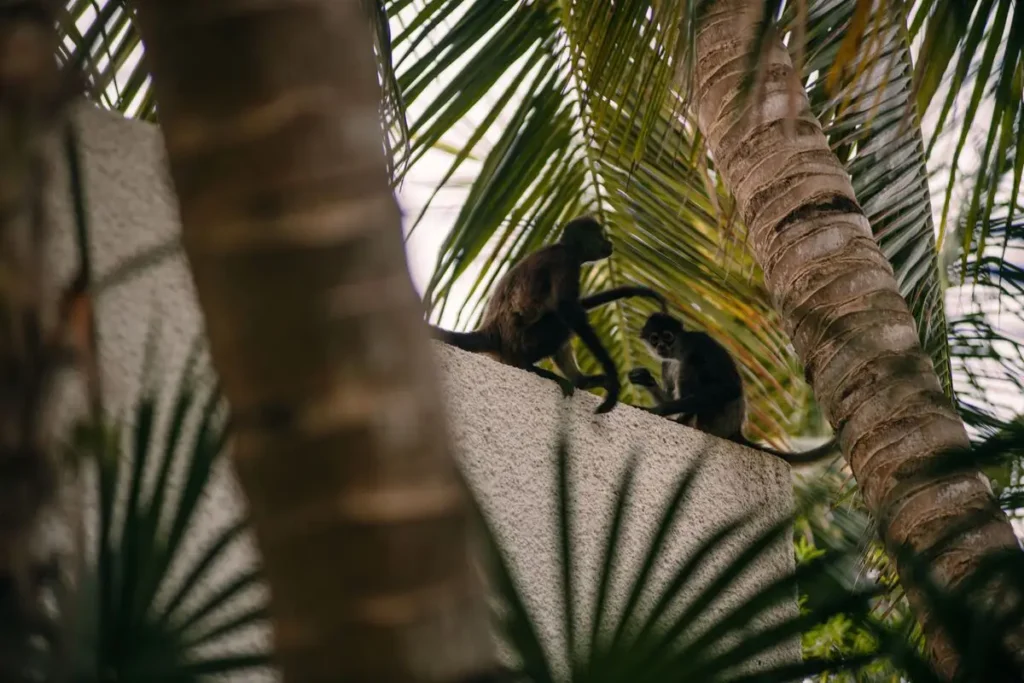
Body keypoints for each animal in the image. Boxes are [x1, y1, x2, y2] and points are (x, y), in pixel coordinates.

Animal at [429, 216, 666, 414]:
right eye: (599, 236)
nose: (609, 243)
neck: (564, 247)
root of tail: (491, 331)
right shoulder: (565, 261)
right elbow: (566, 308)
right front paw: (614, 378)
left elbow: (573, 307)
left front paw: (629, 291)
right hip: (522, 342)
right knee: (561, 322)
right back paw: (528, 366)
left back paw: (582, 381)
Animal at [628, 312, 838, 465]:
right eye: (654, 339)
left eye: (668, 336)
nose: (661, 346)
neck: (678, 352)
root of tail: (736, 429)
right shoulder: (666, 363)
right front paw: (645, 380)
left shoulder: (701, 342)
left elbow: (731, 387)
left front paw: (658, 410)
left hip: (721, 418)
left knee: (691, 367)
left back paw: (684, 421)